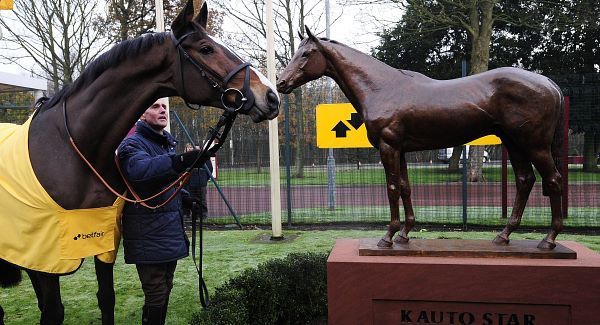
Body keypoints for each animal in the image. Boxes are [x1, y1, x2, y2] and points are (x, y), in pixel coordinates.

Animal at [0, 1, 280, 322]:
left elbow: (106, 298)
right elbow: (54, 311)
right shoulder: (43, 256)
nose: (270, 96)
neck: (71, 150)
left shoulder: (103, 241)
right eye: (206, 48)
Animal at [278, 27, 564, 249]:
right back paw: (504, 236)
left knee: (552, 180)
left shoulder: (388, 148)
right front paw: (405, 234)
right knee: (525, 181)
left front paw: (388, 236)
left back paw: (549, 239)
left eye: (306, 53)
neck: (382, 87)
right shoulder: (400, 150)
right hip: (513, 143)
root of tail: (550, 84)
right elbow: (405, 187)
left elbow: (392, 188)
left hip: (534, 145)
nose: (281, 82)